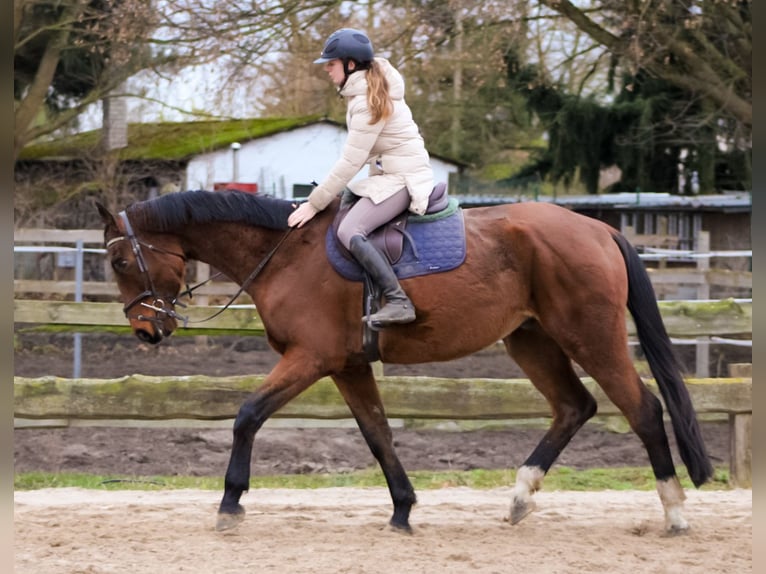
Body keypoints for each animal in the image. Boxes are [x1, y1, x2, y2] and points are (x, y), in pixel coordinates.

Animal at [96, 189, 712, 536]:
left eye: (122, 261)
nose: (146, 330)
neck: (285, 254)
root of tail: (599, 227)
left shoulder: (311, 358)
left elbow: (248, 415)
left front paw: (229, 503)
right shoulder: (346, 365)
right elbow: (378, 434)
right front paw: (402, 510)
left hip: (591, 338)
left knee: (642, 409)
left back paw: (676, 514)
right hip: (531, 340)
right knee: (573, 406)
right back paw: (520, 497)